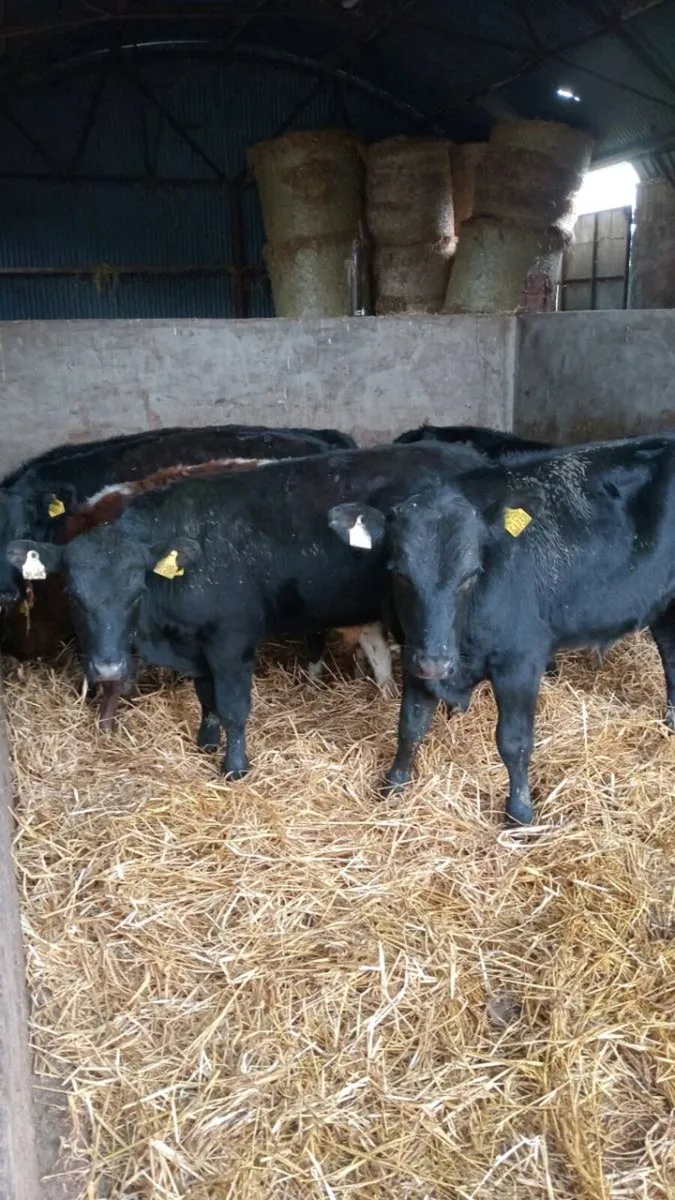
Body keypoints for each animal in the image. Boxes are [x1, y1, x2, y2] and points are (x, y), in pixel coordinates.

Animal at [7, 442, 486, 773]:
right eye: (75, 595)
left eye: (136, 592)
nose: (106, 668)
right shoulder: (195, 643)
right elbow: (206, 698)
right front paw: (204, 741)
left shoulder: (230, 639)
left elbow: (234, 706)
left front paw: (234, 767)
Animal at [326, 435, 675, 824]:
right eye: (400, 572)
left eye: (471, 574)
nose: (437, 662)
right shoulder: (415, 651)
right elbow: (410, 725)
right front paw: (394, 786)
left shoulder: (520, 661)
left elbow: (514, 741)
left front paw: (520, 813)